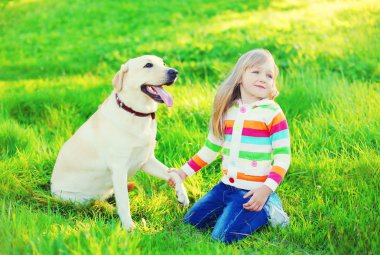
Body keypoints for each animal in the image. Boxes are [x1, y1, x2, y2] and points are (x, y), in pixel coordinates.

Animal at [51, 54, 190, 230]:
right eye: (148, 65)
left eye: (163, 63)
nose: (174, 72)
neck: (135, 113)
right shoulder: (119, 169)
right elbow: (124, 203)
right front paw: (129, 227)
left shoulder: (146, 159)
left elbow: (174, 174)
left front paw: (182, 196)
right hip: (74, 198)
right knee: (95, 203)